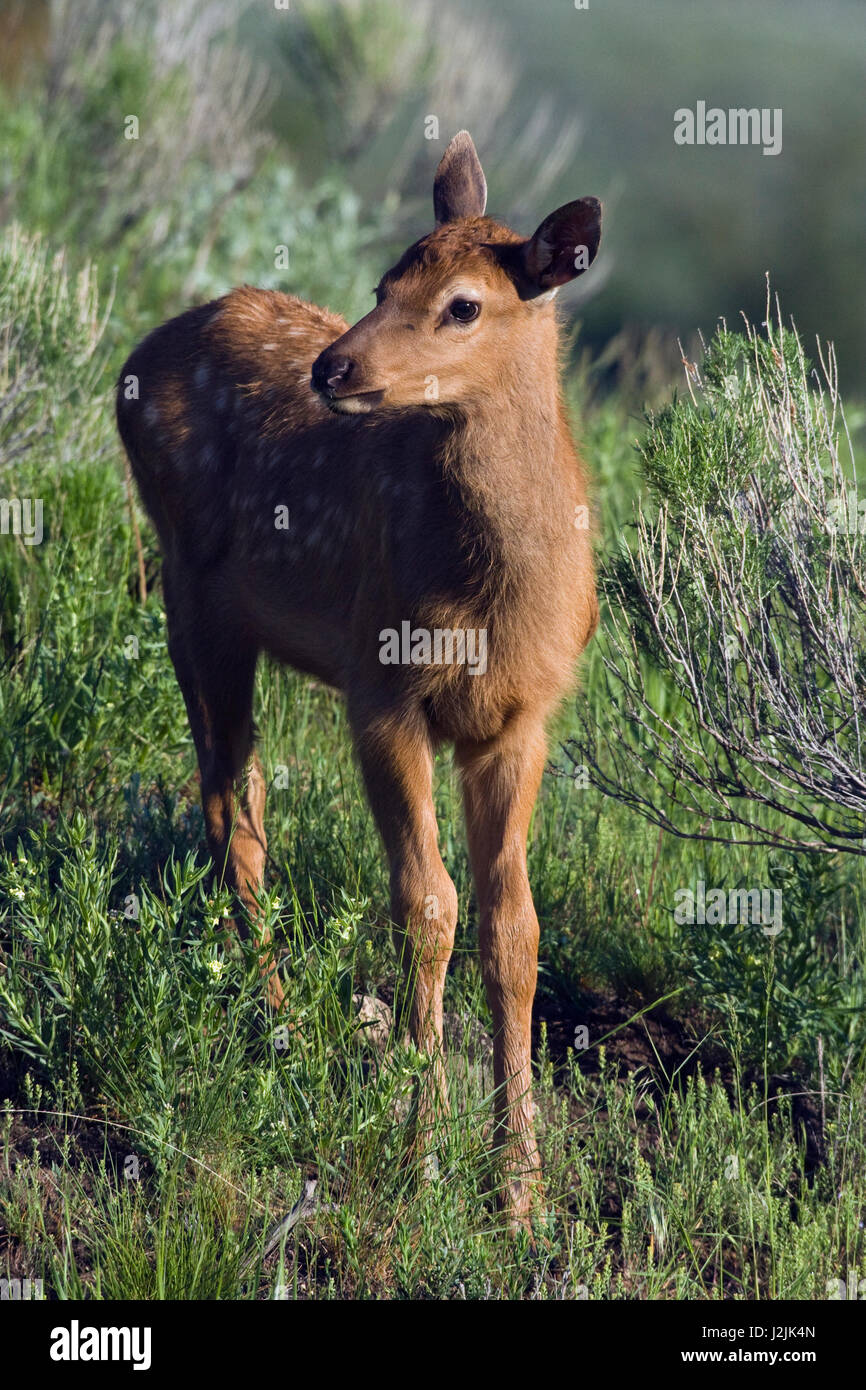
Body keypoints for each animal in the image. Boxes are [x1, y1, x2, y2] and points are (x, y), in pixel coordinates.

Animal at [116, 135, 603, 1228]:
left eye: (463, 304)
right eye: (384, 281)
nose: (333, 365)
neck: (492, 600)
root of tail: (135, 357)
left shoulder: (520, 719)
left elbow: (513, 926)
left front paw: (520, 1195)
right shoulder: (379, 688)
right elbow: (425, 904)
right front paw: (417, 1156)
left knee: (236, 792)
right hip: (190, 591)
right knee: (230, 803)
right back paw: (278, 1030)